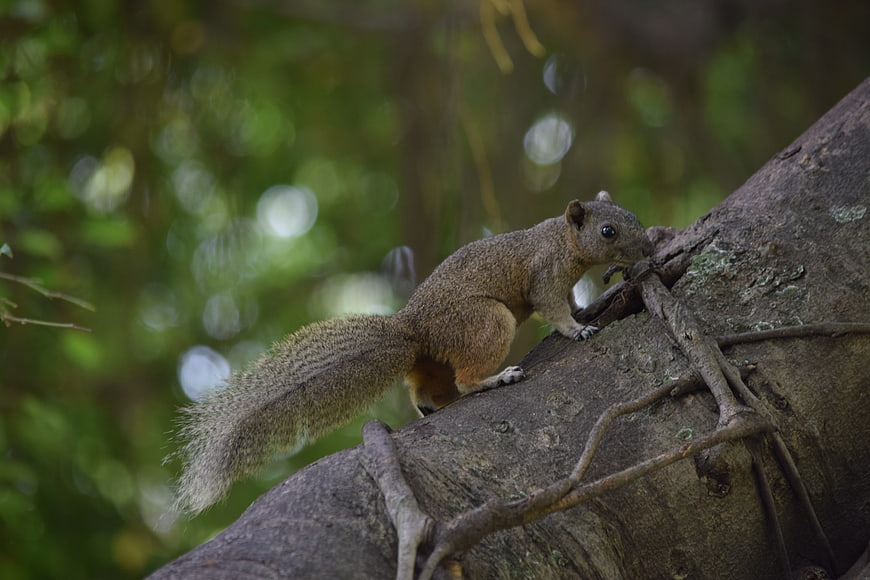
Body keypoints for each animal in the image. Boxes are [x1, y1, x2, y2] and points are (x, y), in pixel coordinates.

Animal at [171, 191, 652, 514]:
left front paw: (584, 308)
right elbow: (554, 308)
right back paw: (496, 378)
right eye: (608, 231)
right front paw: (577, 328)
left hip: (435, 357)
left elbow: (568, 300)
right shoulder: (544, 275)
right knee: (465, 379)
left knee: (427, 387)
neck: (561, 240)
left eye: (632, 214)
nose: (647, 247)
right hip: (485, 323)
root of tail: (413, 329)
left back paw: (432, 404)